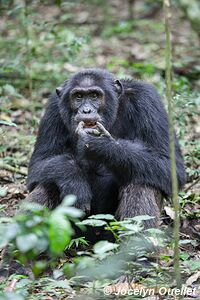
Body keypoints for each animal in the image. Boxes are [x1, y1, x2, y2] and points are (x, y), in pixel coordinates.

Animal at [27, 68, 186, 227]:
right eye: (78, 96)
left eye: (94, 95)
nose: (86, 110)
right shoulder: (53, 108)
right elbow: (39, 163)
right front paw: (74, 183)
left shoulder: (148, 101)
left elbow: (169, 164)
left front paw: (97, 144)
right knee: (49, 179)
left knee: (141, 180)